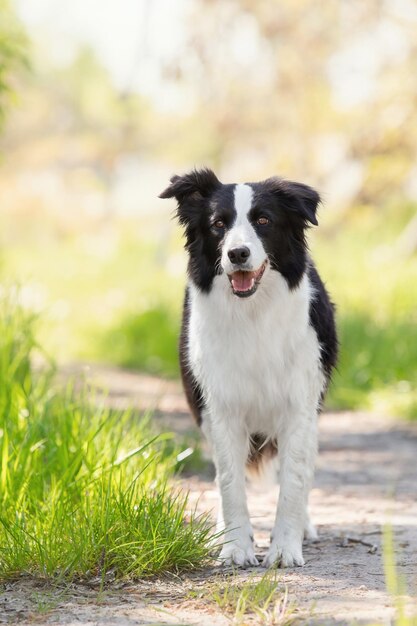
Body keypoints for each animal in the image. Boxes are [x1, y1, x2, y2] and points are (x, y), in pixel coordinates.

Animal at [159, 168, 338, 568]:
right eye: (218, 224)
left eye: (264, 221)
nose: (237, 253)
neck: (252, 313)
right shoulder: (220, 406)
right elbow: (229, 481)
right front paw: (235, 547)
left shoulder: (299, 405)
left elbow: (293, 481)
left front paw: (285, 548)